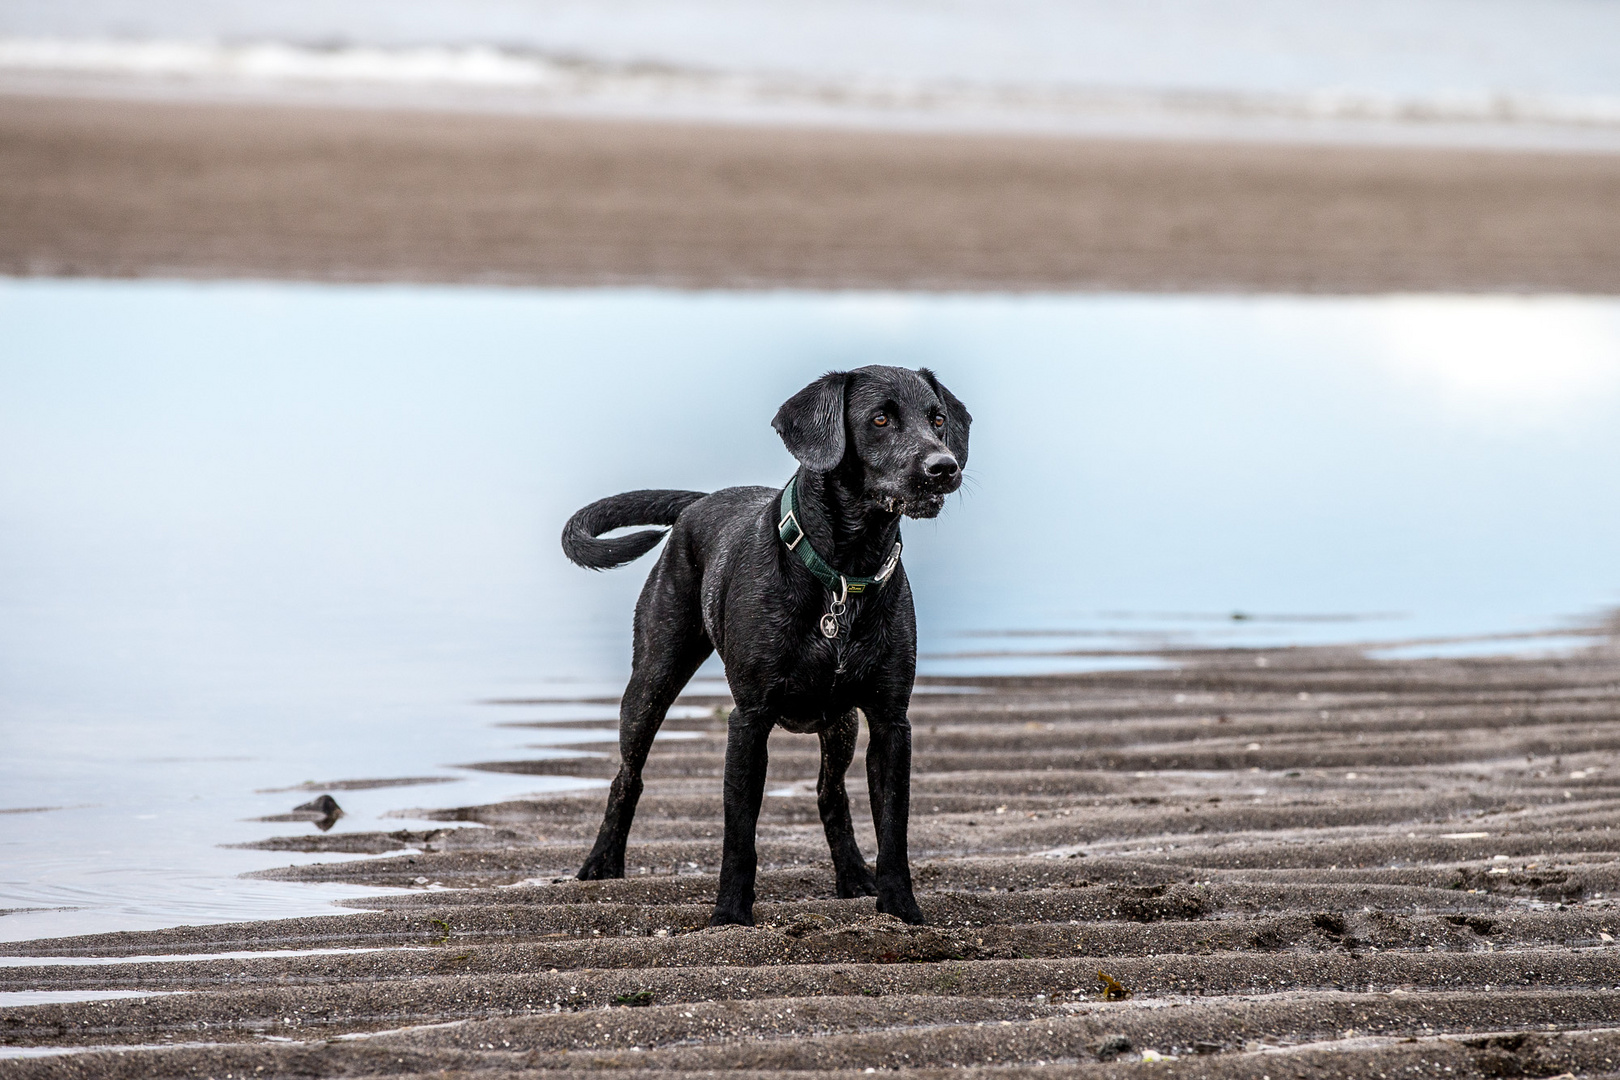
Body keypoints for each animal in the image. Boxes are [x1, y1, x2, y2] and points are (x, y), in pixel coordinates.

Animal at [563, 367, 965, 926]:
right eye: (880, 419)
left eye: (939, 419)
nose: (944, 467)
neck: (844, 571)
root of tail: (699, 502)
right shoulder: (749, 720)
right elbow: (740, 834)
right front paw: (730, 915)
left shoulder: (890, 722)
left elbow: (893, 829)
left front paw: (901, 909)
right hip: (651, 680)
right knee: (628, 775)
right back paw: (602, 863)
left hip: (840, 722)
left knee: (830, 793)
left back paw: (852, 874)